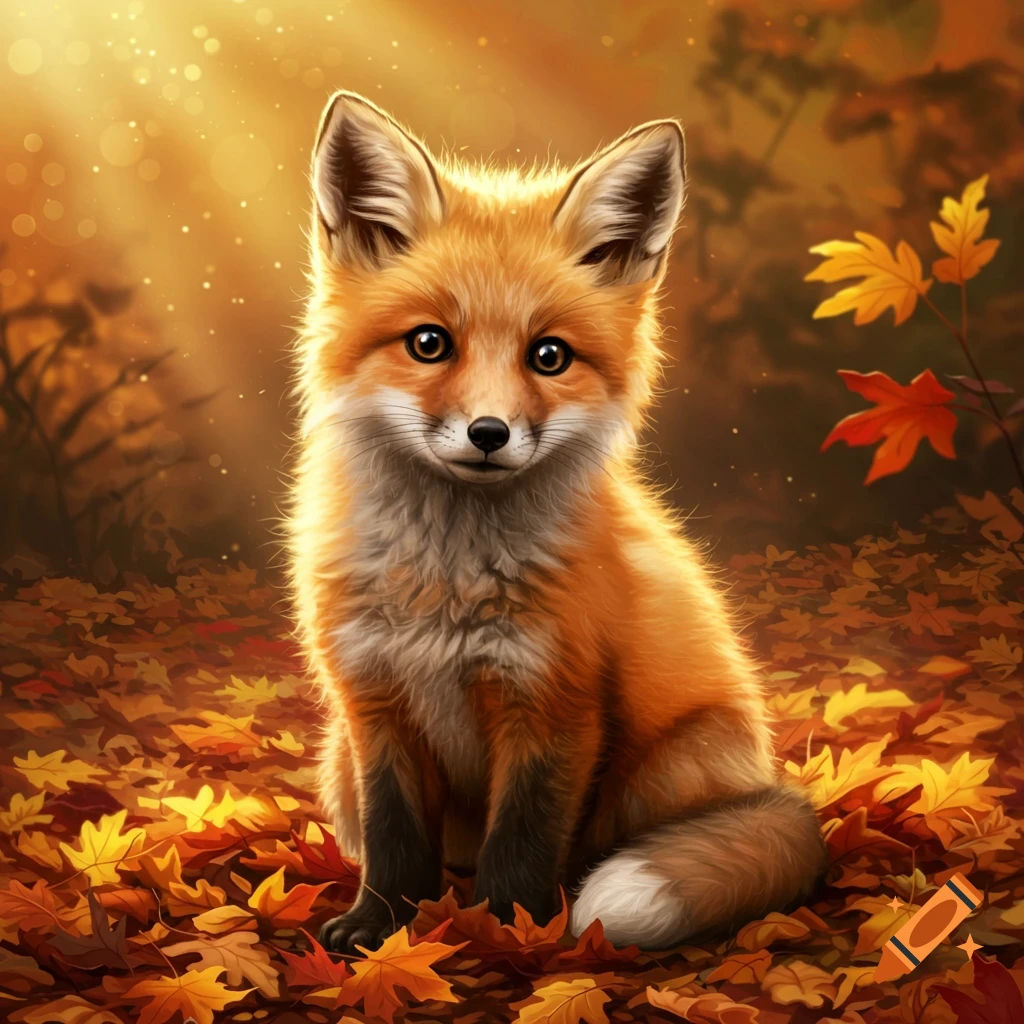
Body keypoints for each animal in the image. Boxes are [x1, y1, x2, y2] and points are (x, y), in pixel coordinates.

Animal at [286, 90, 827, 954]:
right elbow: (396, 836)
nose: (489, 433)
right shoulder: (372, 705)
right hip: (335, 759)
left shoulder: (556, 704)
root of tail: (769, 781)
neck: (445, 584)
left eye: (549, 356)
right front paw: (381, 926)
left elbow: (524, 838)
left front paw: (511, 932)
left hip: (663, 769)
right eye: (429, 343)